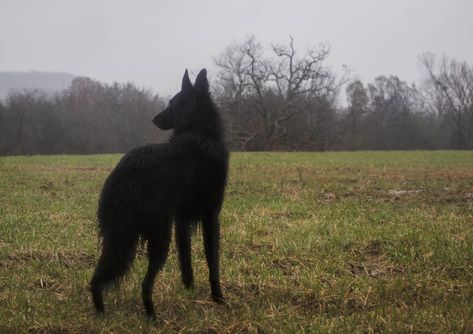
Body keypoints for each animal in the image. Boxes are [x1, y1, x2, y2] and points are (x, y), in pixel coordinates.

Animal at [90, 68, 229, 318]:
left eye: (171, 104)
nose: (154, 119)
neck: (199, 131)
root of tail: (124, 173)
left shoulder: (182, 220)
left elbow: (186, 257)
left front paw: (189, 288)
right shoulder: (211, 216)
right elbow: (213, 261)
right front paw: (218, 298)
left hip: (120, 234)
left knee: (98, 276)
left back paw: (101, 314)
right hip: (159, 235)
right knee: (145, 284)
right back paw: (152, 315)